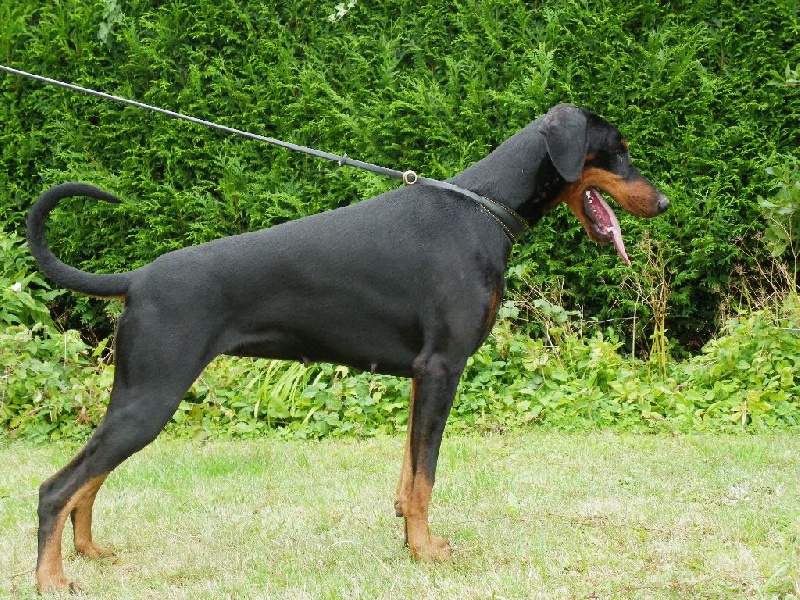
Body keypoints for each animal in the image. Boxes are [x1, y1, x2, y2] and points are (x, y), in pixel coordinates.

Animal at [27, 103, 669, 592]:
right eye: (616, 150)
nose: (663, 204)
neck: (481, 209)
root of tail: (137, 278)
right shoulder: (443, 368)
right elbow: (427, 475)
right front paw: (425, 552)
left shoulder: (421, 376)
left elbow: (410, 473)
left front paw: (412, 538)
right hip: (151, 396)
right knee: (56, 487)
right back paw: (52, 579)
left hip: (138, 397)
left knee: (86, 480)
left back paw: (89, 552)